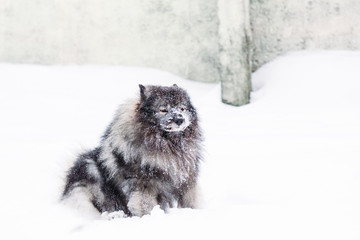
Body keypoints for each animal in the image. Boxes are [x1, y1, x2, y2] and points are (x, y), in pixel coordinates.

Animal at [62, 84, 202, 218]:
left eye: (182, 109)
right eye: (163, 110)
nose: (180, 119)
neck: (168, 145)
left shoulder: (187, 183)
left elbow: (192, 202)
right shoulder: (144, 188)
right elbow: (145, 207)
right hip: (90, 171)